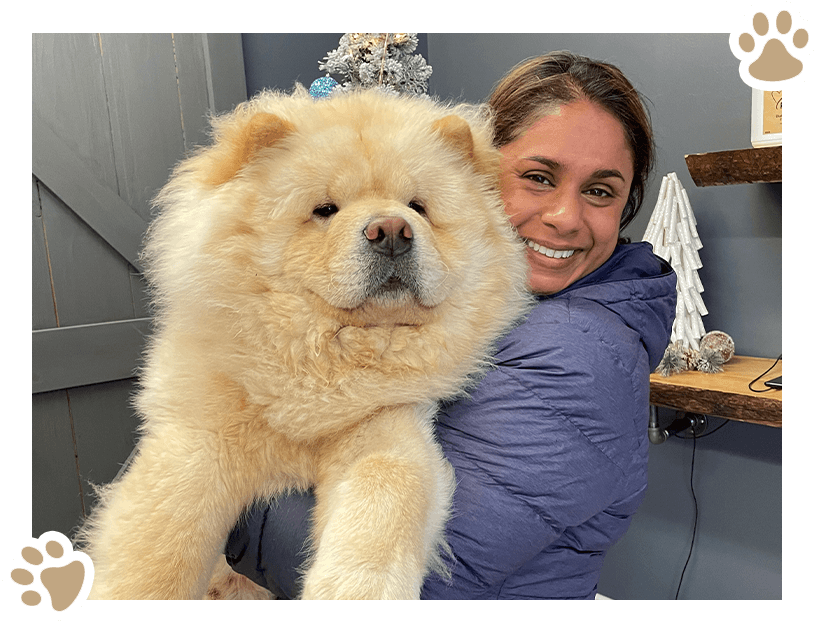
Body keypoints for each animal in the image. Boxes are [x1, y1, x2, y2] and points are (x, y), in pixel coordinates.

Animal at [78, 86, 532, 604]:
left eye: (418, 207)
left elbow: (387, 486)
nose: (391, 231)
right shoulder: (199, 436)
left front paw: (357, 598)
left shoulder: (386, 420)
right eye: (325, 210)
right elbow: (158, 543)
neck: (320, 359)